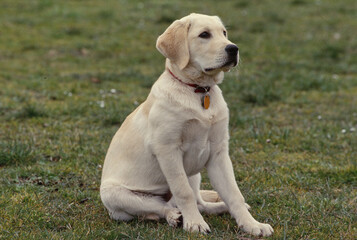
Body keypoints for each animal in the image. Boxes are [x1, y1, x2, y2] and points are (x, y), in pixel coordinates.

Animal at [100, 13, 272, 236]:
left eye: (224, 33)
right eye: (204, 35)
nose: (233, 48)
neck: (198, 90)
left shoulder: (218, 152)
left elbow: (234, 194)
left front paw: (252, 225)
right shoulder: (168, 150)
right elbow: (184, 193)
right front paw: (194, 224)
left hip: (194, 173)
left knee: (200, 203)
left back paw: (219, 207)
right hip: (114, 194)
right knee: (160, 207)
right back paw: (175, 217)